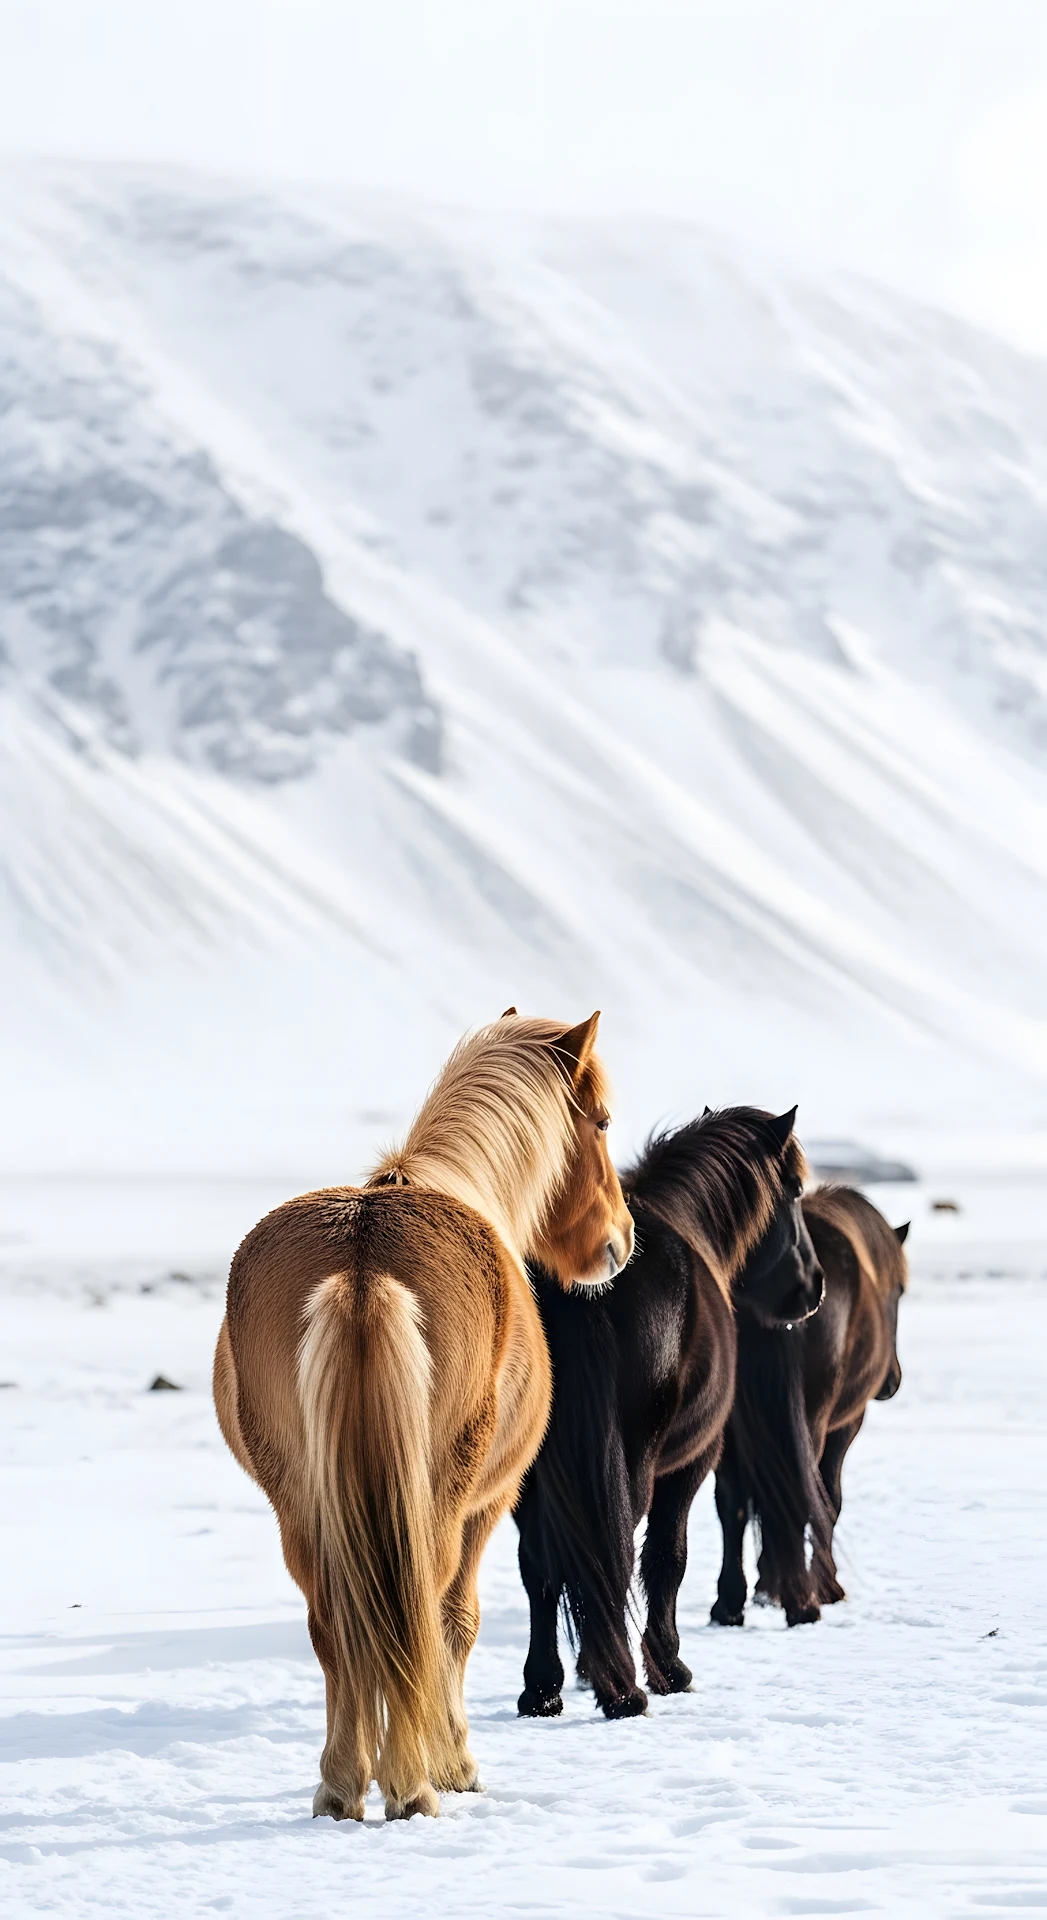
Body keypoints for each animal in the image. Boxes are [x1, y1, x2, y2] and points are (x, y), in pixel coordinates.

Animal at [213, 1011, 634, 1821]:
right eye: (599, 1121)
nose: (618, 1244)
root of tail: (360, 1266)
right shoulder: (489, 1503)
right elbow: (455, 1624)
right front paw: (457, 1763)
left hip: (300, 1506)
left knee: (334, 1625)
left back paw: (342, 1785)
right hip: (438, 1502)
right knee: (418, 1612)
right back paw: (411, 1785)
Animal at [515, 1105, 824, 1720]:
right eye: (796, 1190)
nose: (813, 1285)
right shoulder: (691, 1463)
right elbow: (665, 1557)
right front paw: (669, 1668)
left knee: (541, 1565)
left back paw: (542, 1690)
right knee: (606, 1559)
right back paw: (622, 1688)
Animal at [712, 1182, 908, 1629]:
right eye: (900, 1294)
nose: (892, 1381)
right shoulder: (845, 1426)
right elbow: (829, 1501)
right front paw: (824, 1586)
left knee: (732, 1505)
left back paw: (730, 1603)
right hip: (815, 1423)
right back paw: (803, 1600)